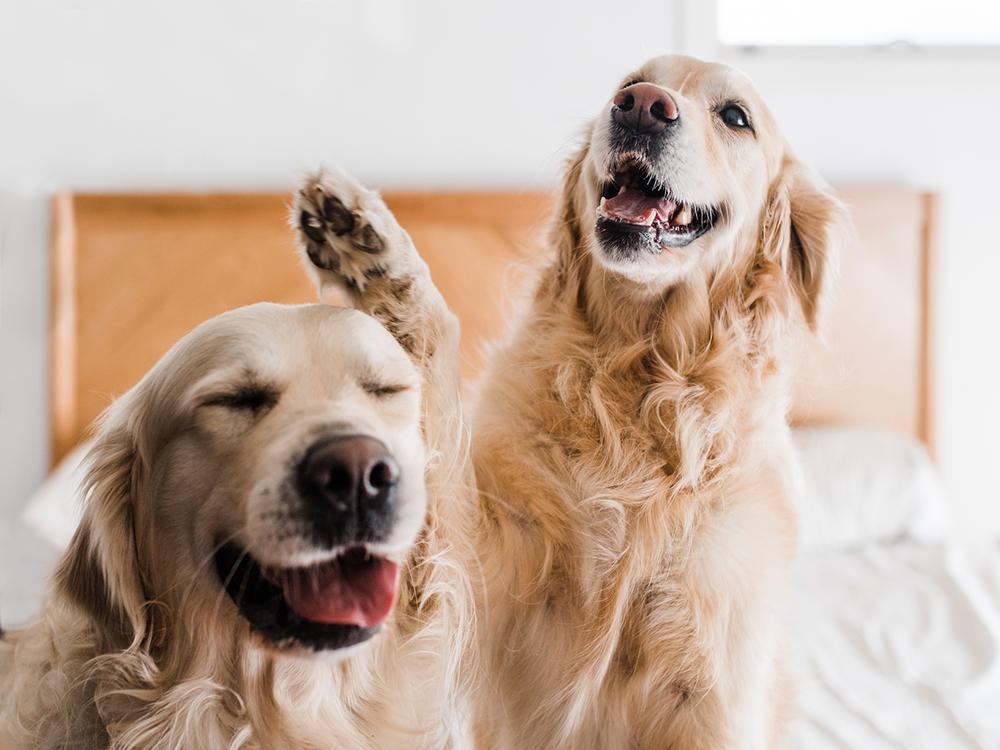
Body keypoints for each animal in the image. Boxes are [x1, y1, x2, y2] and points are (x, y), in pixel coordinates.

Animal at [472, 55, 848, 748]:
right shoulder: (499, 578)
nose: (642, 106)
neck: (641, 384)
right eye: (627, 83)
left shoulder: (714, 690)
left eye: (735, 117)